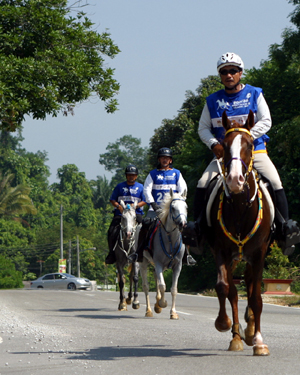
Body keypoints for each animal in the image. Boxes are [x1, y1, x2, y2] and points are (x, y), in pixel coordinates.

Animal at [139, 189, 186, 322]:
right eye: (173, 208)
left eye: (185, 206)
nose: (182, 224)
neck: (170, 239)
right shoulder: (159, 263)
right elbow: (162, 286)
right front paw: (163, 303)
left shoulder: (178, 265)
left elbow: (174, 289)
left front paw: (173, 313)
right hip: (143, 263)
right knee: (146, 287)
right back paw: (149, 310)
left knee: (155, 278)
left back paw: (156, 305)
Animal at [207, 110, 274, 356]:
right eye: (224, 145)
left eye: (250, 143)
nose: (235, 180)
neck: (239, 207)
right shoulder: (220, 250)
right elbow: (224, 287)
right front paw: (223, 323)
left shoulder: (259, 253)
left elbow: (256, 297)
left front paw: (259, 341)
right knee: (234, 292)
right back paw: (237, 336)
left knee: (251, 285)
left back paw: (251, 330)